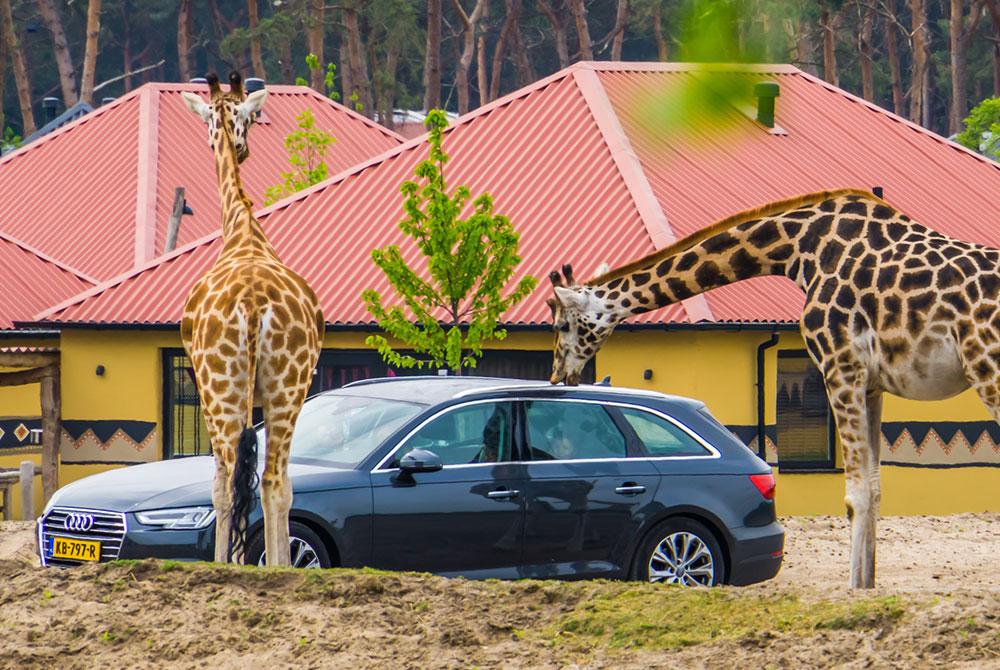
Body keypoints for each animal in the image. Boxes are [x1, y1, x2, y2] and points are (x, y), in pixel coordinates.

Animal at [178, 73, 322, 568]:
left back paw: (238, 565)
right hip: (287, 387)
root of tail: (255, 306)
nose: (241, 151)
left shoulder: (204, 388)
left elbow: (222, 486)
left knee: (234, 481)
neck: (244, 234)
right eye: (252, 117)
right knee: (276, 480)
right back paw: (280, 568)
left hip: (224, 388)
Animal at [552, 188, 1000, 588]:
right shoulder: (872, 384)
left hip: (987, 372)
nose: (560, 375)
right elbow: (872, 489)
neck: (799, 249)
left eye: (562, 323)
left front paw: (855, 590)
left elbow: (854, 495)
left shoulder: (840, 367)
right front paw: (868, 588)